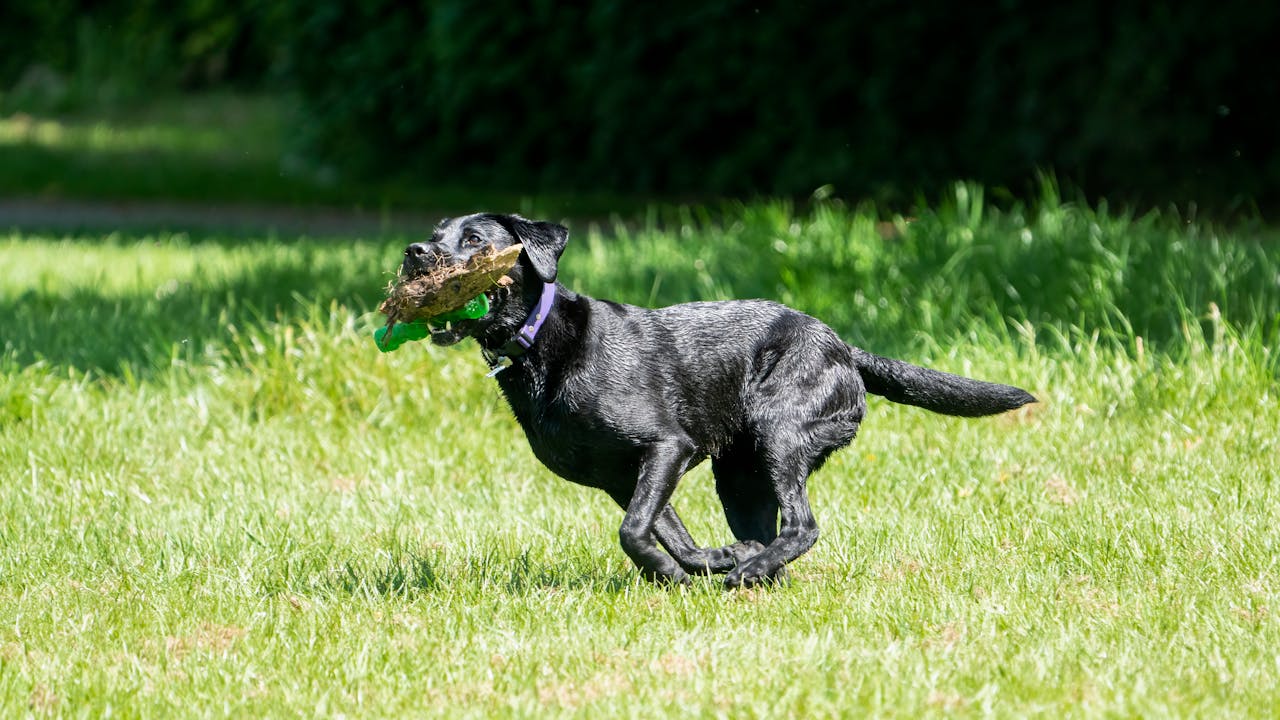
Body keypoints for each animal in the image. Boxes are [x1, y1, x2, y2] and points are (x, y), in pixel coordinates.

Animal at [404, 211, 1034, 584]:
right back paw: (751, 568)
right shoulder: (622, 476)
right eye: (435, 237)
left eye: (474, 240)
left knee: (803, 526)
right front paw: (700, 565)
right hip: (739, 473)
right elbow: (666, 530)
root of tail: (844, 348)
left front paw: (681, 575)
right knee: (768, 530)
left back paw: (749, 573)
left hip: (779, 432)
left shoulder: (667, 447)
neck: (540, 346)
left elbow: (634, 530)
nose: (414, 252)